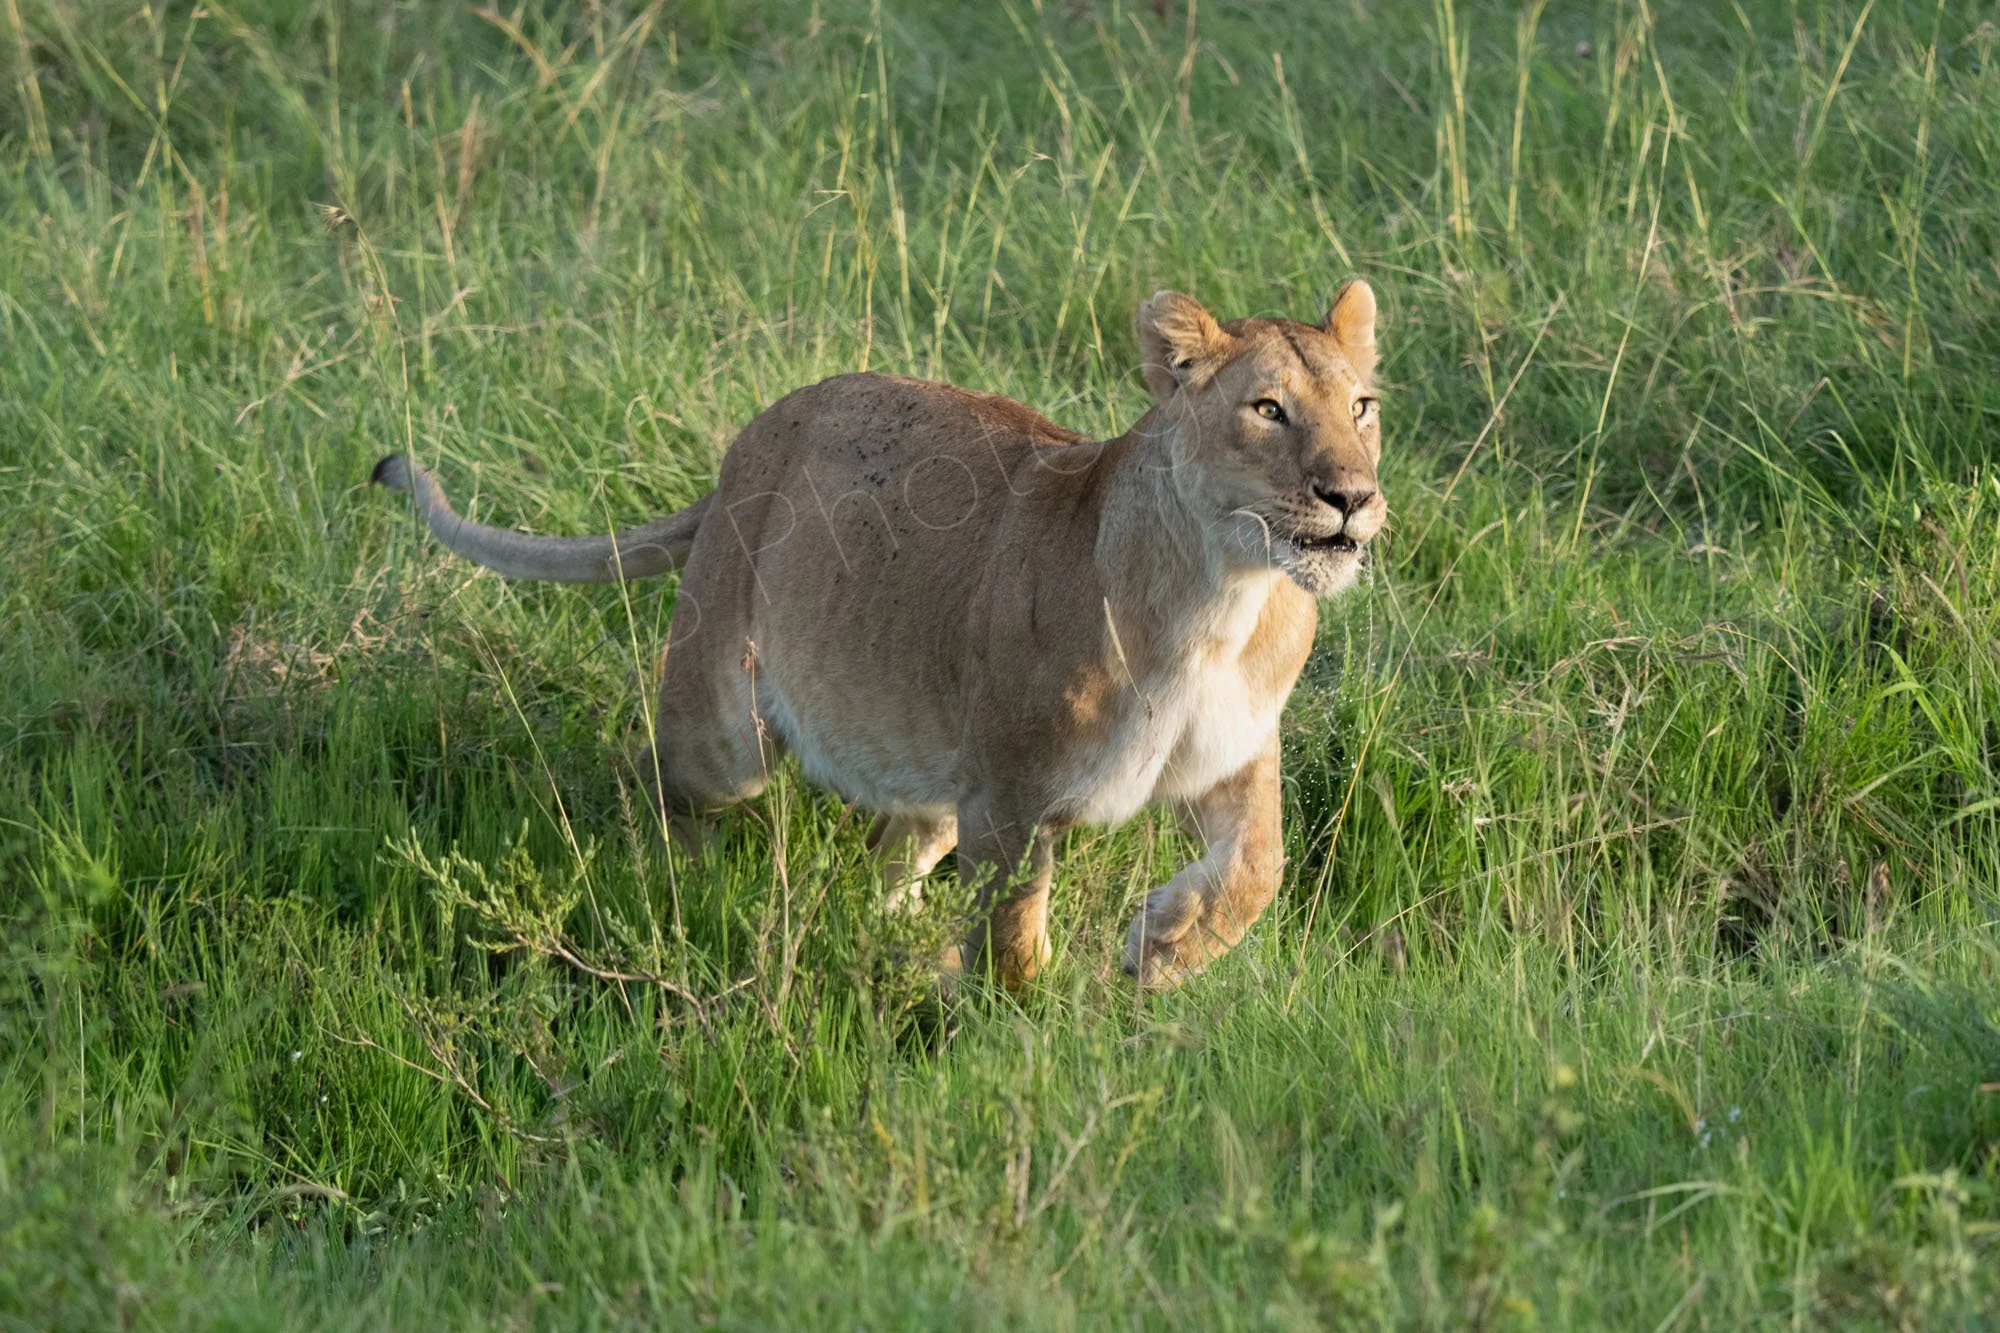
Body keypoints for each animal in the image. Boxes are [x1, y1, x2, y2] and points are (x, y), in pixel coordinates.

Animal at [373, 283, 1386, 990]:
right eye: (1267, 410)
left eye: (1362, 407)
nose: (1352, 497)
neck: (1228, 595)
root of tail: (742, 451)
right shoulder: (1013, 796)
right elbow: (1012, 942)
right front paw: (1025, 1032)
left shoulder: (1233, 753)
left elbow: (1259, 867)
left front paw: (1165, 949)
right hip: (729, 731)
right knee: (667, 786)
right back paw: (691, 891)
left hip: (934, 782)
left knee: (884, 861)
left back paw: (896, 944)